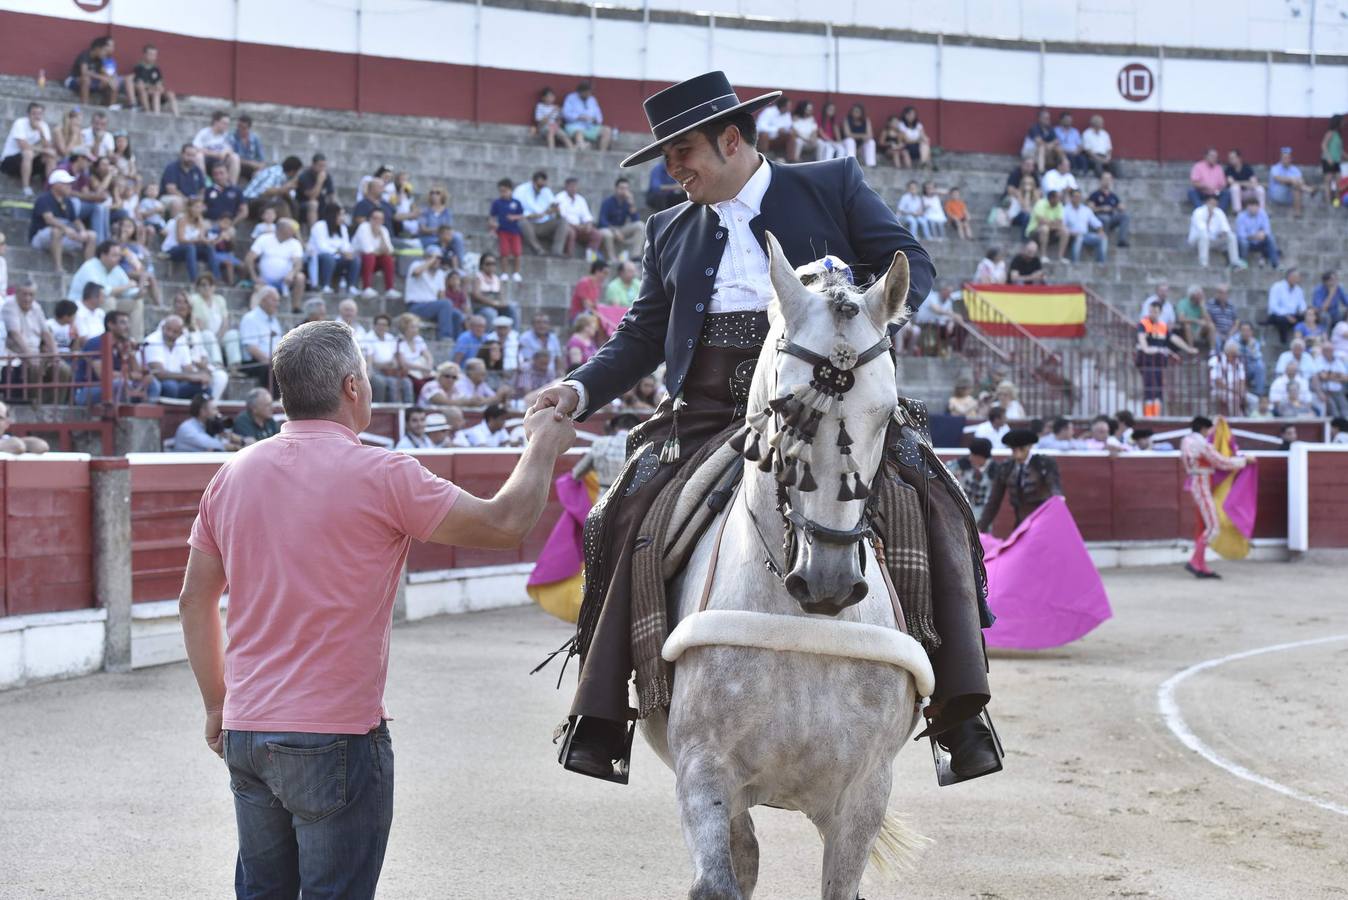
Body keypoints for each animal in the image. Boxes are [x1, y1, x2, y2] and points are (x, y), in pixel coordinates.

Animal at [647, 235, 932, 894]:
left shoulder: (864, 795)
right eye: (784, 411)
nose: (828, 580)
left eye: (887, 415)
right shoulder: (702, 771)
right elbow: (718, 882)